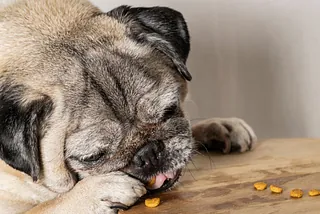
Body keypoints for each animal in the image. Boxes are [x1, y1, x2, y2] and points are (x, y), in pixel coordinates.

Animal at [0, 0, 256, 213]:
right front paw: (95, 190)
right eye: (92, 157)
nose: (149, 153)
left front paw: (217, 126)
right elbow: (46, 206)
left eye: (169, 110)